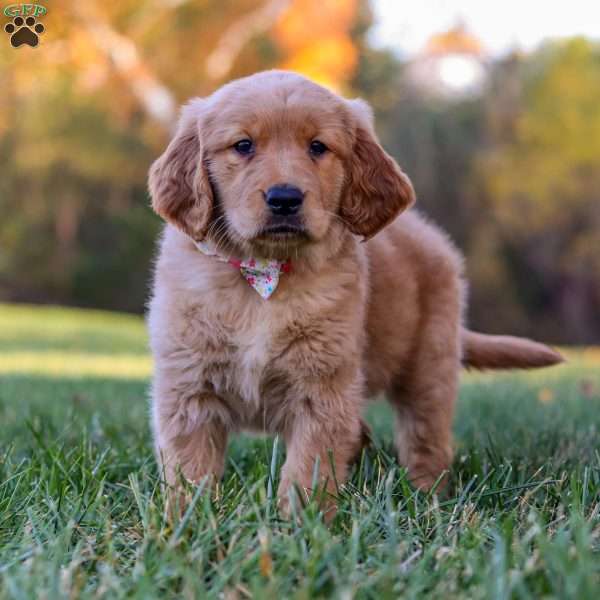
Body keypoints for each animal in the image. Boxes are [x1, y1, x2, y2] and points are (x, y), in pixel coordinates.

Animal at [146, 67, 564, 516]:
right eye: (243, 145)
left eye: (318, 147)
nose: (284, 198)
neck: (264, 278)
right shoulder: (188, 389)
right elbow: (190, 471)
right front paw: (187, 521)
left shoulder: (323, 390)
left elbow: (309, 469)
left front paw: (300, 524)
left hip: (429, 365)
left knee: (426, 438)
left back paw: (428, 499)